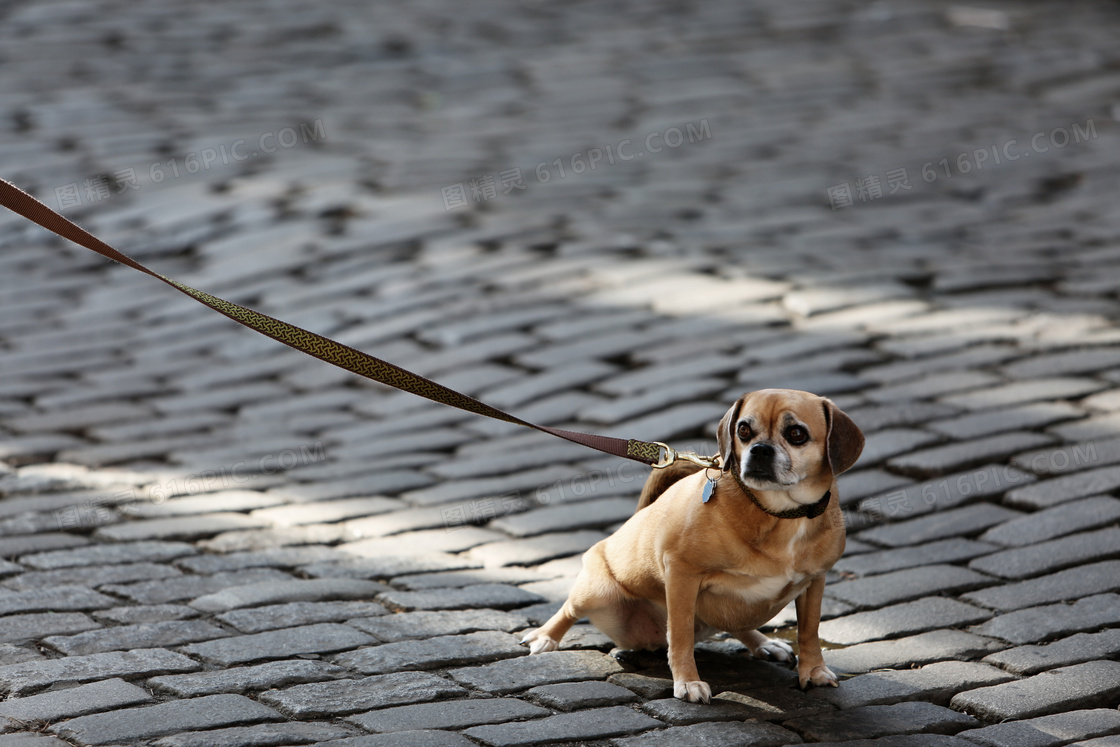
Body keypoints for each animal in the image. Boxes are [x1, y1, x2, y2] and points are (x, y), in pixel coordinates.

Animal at [524, 391, 864, 703]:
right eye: (744, 430)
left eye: (796, 434)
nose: (760, 450)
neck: (779, 514)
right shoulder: (682, 574)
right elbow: (681, 634)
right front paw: (687, 681)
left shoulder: (815, 581)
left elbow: (809, 631)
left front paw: (814, 671)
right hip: (597, 593)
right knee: (569, 609)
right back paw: (545, 637)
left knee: (738, 623)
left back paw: (764, 643)